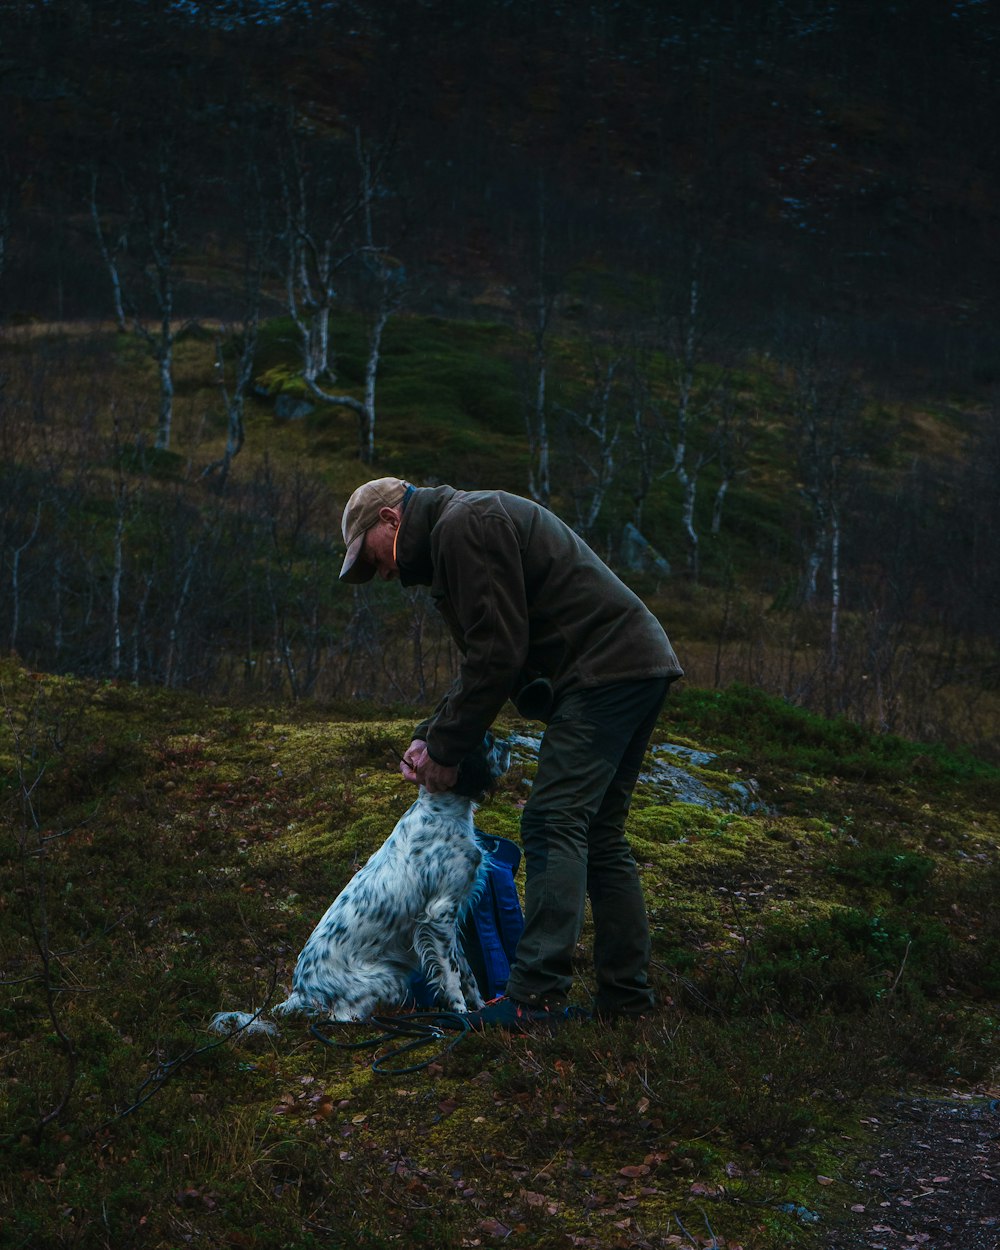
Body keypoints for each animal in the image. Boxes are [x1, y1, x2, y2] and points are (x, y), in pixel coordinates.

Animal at [210, 730, 507, 1035]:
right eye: (488, 742)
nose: (508, 745)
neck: (442, 811)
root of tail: (298, 994)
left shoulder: (449, 921)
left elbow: (467, 972)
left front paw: (480, 1009)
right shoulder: (440, 913)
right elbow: (451, 975)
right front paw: (460, 1014)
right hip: (386, 976)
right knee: (341, 1015)